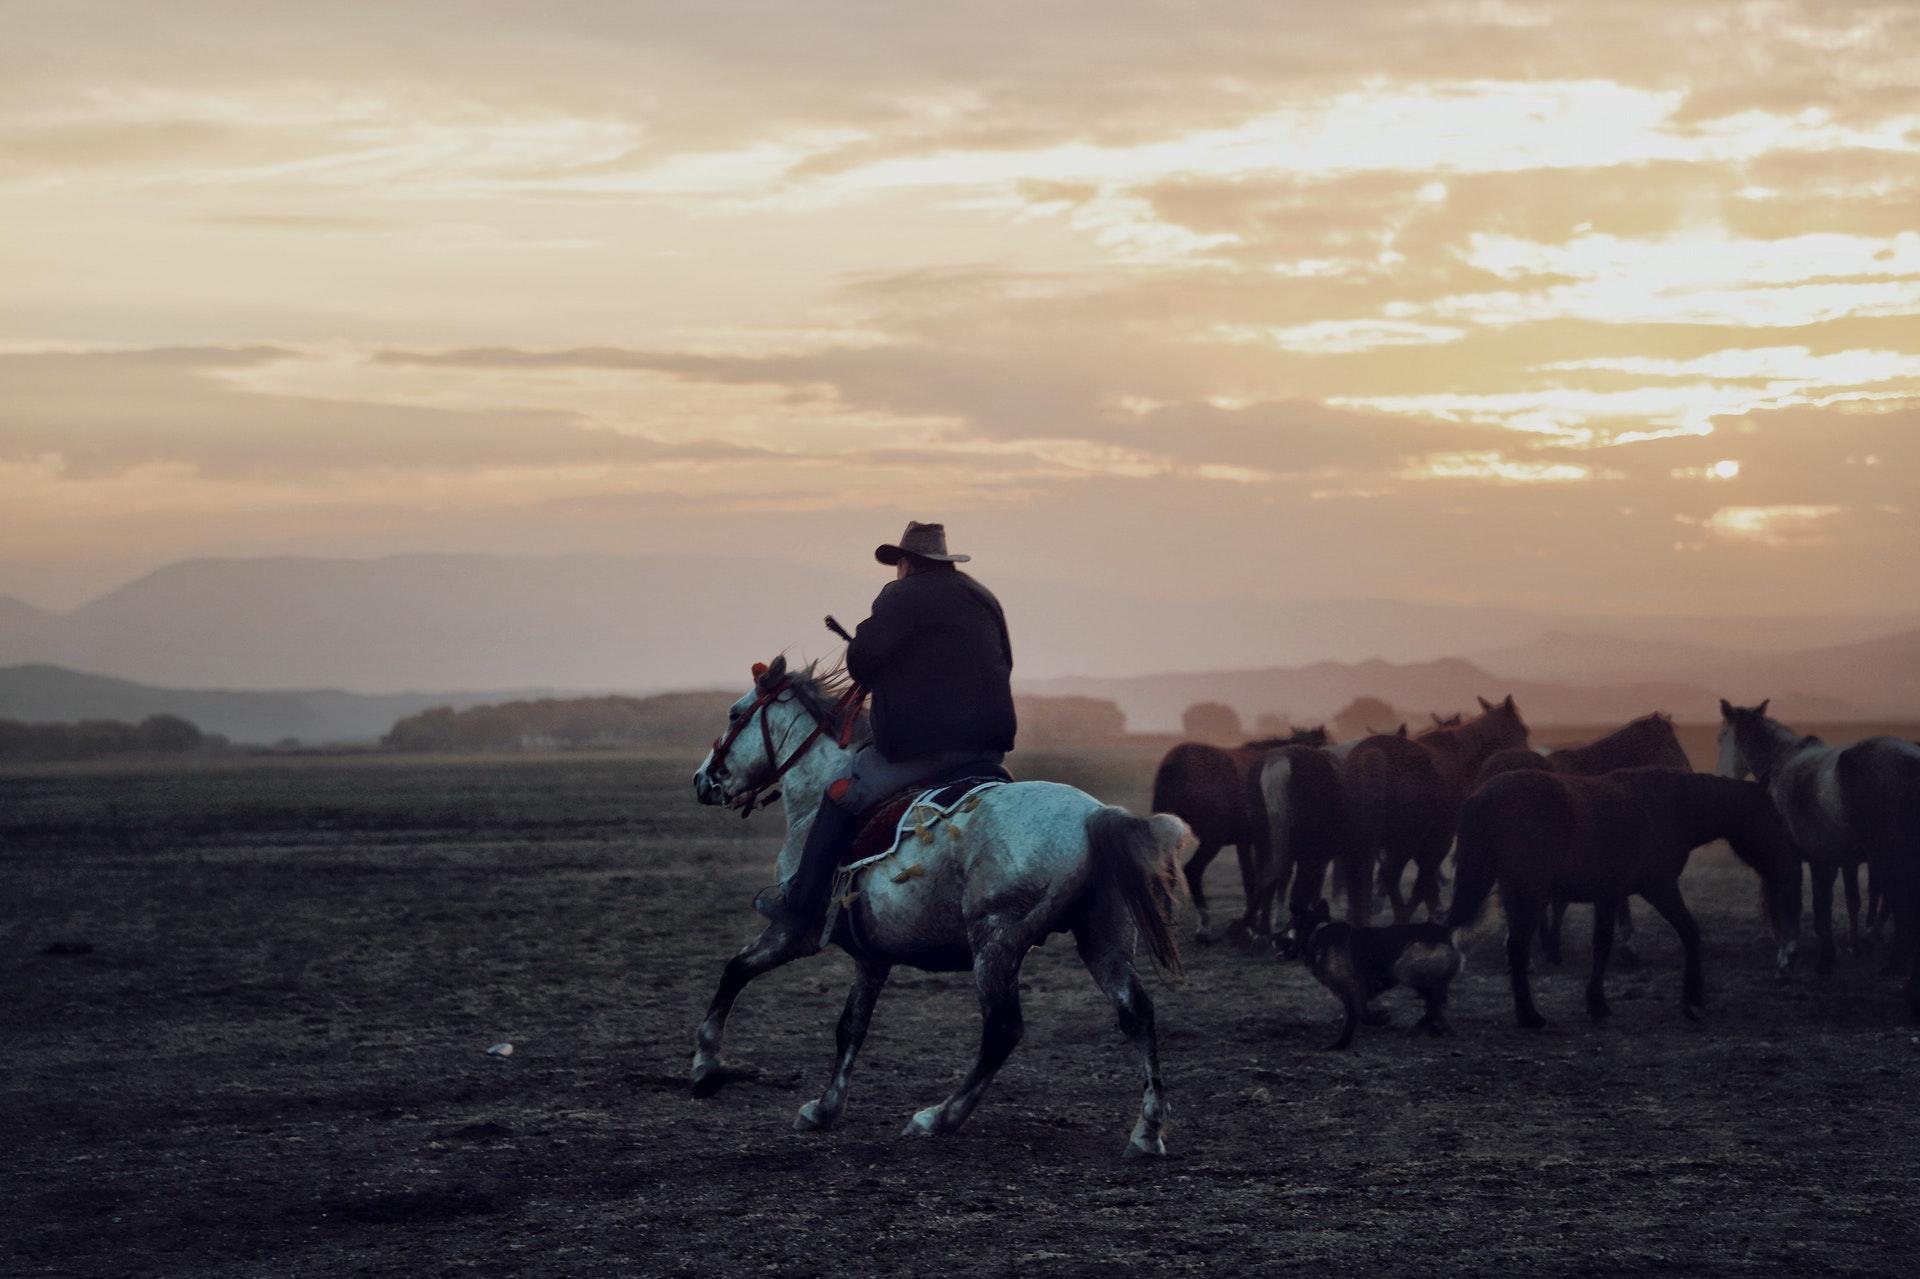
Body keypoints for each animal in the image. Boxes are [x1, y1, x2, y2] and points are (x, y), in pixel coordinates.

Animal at [691, 656, 1182, 1152]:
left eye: (735, 713)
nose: (701, 780)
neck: (817, 793)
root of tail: (1092, 816)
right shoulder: (872, 957)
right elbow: (851, 1026)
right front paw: (825, 1107)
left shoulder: (796, 931)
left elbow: (736, 970)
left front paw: (706, 1065)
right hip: (1103, 936)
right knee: (1136, 1011)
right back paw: (1147, 1130)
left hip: (996, 943)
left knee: (1002, 1029)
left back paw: (939, 1117)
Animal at [1152, 725, 1336, 937]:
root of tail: (1175, 764)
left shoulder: (1245, 841)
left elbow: (1251, 879)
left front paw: (1253, 923)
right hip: (1212, 840)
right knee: (1192, 871)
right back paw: (1204, 926)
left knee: (1166, 874)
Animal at [1282, 894, 1459, 1044]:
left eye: (1287, 927)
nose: (1275, 938)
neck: (1316, 931)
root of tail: (1444, 932)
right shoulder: (1347, 994)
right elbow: (1350, 1019)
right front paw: (1340, 1044)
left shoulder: (1354, 987)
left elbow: (1362, 1014)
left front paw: (1379, 1019)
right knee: (1436, 1003)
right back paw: (1438, 1028)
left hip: (1402, 969)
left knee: (1435, 1001)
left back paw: (1420, 1027)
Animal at [1344, 691, 1536, 921]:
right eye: (1523, 730)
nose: (1528, 762)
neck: (1459, 759)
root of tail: (1372, 754)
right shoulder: (1439, 838)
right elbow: (1425, 883)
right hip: (1404, 843)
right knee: (1390, 877)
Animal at [1443, 760, 1804, 1021]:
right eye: (1771, 814)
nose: (1788, 860)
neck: (1670, 808)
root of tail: (1481, 796)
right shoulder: (1659, 888)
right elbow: (1690, 932)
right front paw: (1692, 999)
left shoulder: (1608, 895)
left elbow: (1602, 945)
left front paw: (1597, 1003)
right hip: (1528, 895)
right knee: (1514, 947)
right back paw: (1529, 1016)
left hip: (1513, 893)